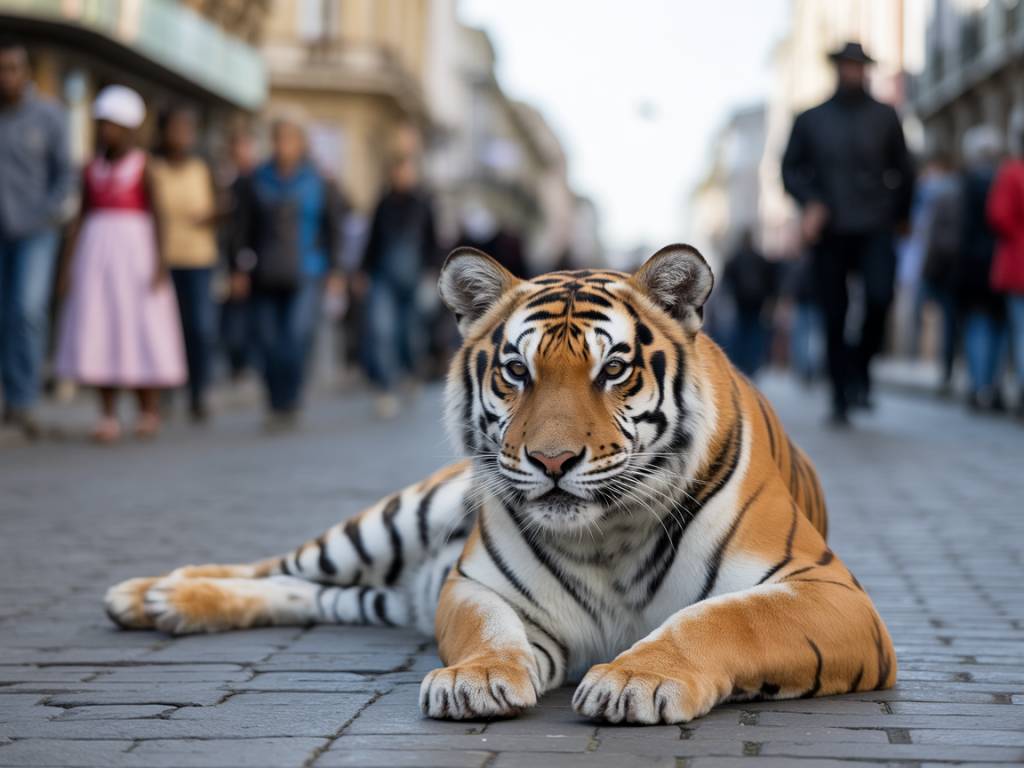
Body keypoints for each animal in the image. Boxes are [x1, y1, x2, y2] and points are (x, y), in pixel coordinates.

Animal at [104, 244, 896, 725]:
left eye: (614, 369)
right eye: (517, 371)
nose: (552, 461)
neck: (609, 536)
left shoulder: (831, 593)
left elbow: (721, 618)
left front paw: (634, 679)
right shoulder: (478, 583)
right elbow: (488, 631)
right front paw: (475, 680)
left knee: (310, 591)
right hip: (398, 519)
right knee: (278, 567)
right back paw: (154, 595)